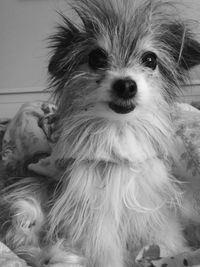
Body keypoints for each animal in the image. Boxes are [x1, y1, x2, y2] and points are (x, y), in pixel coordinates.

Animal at [0, 0, 200, 266]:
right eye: (97, 57)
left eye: (150, 59)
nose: (126, 85)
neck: (118, 136)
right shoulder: (94, 216)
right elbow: (103, 251)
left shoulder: (152, 205)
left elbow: (165, 237)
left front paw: (173, 253)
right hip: (29, 201)